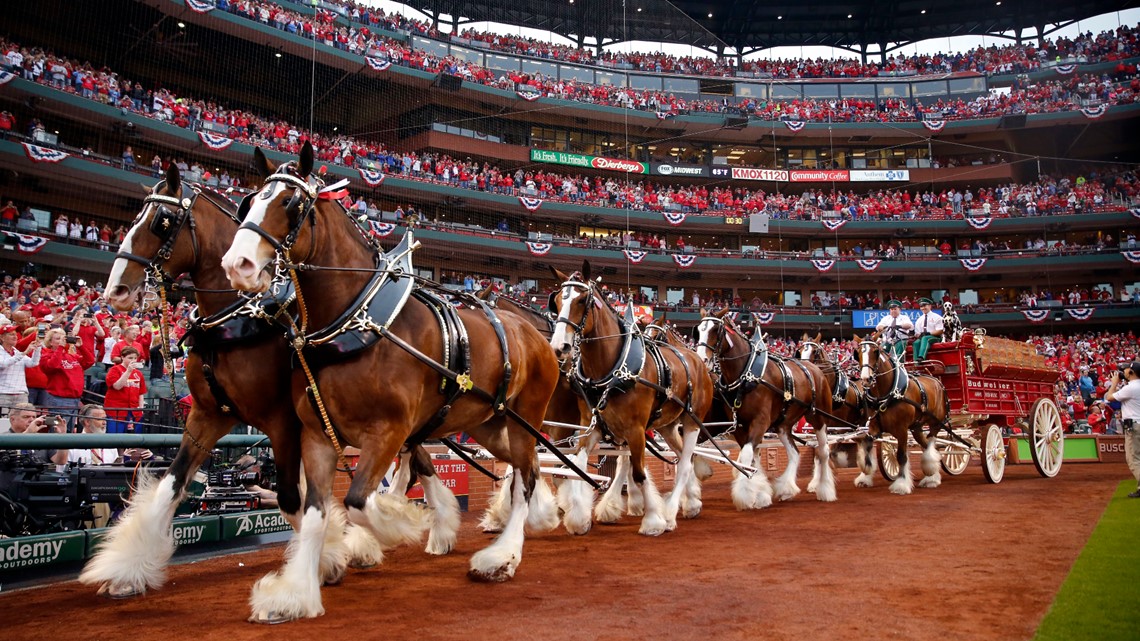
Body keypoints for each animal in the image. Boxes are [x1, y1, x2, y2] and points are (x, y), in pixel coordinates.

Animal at [221, 143, 560, 620]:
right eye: (249, 202)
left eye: (290, 204)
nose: (238, 264)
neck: (356, 319)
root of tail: (536, 333)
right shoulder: (317, 435)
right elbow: (315, 513)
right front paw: (297, 592)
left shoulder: (389, 431)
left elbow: (359, 503)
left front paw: (403, 526)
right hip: (488, 425)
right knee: (523, 469)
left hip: (526, 417)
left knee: (527, 476)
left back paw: (503, 556)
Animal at [544, 260, 711, 533]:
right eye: (557, 300)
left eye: (582, 300)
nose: (560, 347)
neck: (613, 369)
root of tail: (696, 359)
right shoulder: (592, 425)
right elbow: (577, 465)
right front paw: (578, 517)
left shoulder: (635, 429)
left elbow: (639, 474)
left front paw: (653, 519)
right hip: (665, 425)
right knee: (680, 455)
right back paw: (692, 502)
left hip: (692, 421)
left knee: (685, 463)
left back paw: (670, 513)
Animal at [693, 307, 839, 506]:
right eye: (699, 330)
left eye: (716, 329)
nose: (702, 360)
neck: (746, 374)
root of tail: (814, 368)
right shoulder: (740, 426)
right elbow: (751, 458)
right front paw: (760, 493)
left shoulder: (760, 421)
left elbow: (747, 456)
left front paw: (746, 495)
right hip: (783, 423)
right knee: (794, 453)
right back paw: (786, 489)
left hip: (818, 417)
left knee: (823, 451)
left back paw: (824, 489)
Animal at [857, 337, 953, 490]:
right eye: (858, 353)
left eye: (875, 352)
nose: (866, 379)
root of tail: (937, 380)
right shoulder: (874, 426)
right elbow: (867, 443)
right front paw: (865, 474)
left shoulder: (902, 429)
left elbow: (901, 456)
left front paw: (901, 483)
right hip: (917, 427)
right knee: (926, 444)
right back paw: (932, 476)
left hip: (936, 423)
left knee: (931, 443)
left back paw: (931, 475)